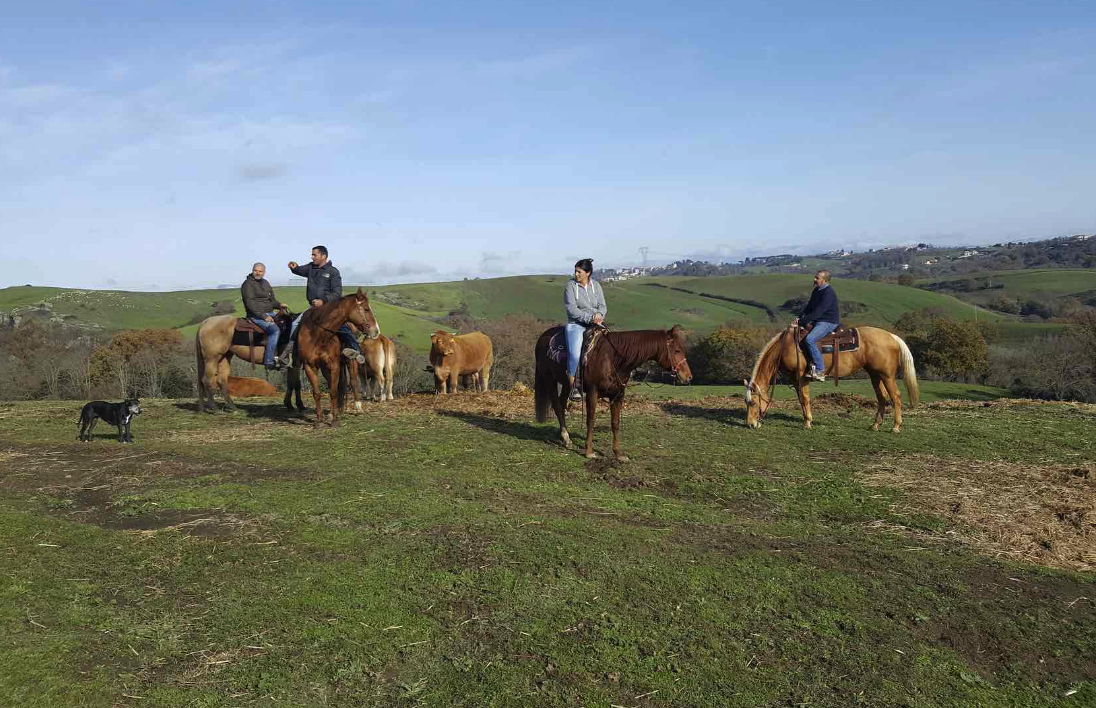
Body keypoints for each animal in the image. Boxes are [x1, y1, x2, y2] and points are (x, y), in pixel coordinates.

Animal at [282, 288, 380, 429]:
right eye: (366, 309)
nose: (376, 331)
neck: (318, 334)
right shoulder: (310, 366)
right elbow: (317, 393)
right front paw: (319, 420)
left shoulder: (334, 365)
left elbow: (333, 391)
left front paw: (335, 420)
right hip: (326, 368)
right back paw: (335, 411)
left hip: (350, 362)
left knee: (353, 382)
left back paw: (357, 407)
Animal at [535, 325, 692, 461]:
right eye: (677, 350)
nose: (689, 377)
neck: (612, 359)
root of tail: (543, 337)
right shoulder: (592, 391)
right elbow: (591, 420)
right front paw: (589, 451)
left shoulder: (618, 395)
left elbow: (615, 423)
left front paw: (618, 453)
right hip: (549, 378)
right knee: (556, 405)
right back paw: (566, 437)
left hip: (566, 383)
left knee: (561, 404)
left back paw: (564, 438)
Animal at [744, 325, 919, 433]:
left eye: (753, 403)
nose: (751, 424)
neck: (785, 347)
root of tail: (892, 336)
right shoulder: (794, 379)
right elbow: (801, 399)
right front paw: (807, 420)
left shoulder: (801, 376)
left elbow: (805, 398)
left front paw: (807, 422)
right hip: (875, 374)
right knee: (882, 398)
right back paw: (875, 425)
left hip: (886, 375)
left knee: (895, 397)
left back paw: (896, 426)